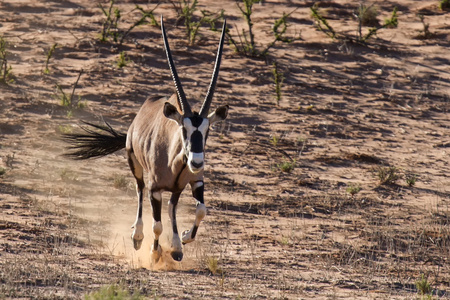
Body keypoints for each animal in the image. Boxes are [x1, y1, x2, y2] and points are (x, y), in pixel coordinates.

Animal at [63, 16, 229, 262]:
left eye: (207, 130)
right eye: (183, 129)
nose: (197, 162)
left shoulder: (195, 181)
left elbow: (201, 210)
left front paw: (183, 240)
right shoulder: (155, 189)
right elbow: (157, 225)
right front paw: (154, 251)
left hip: (176, 188)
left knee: (172, 207)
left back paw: (176, 246)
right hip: (136, 166)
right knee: (139, 190)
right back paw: (138, 237)